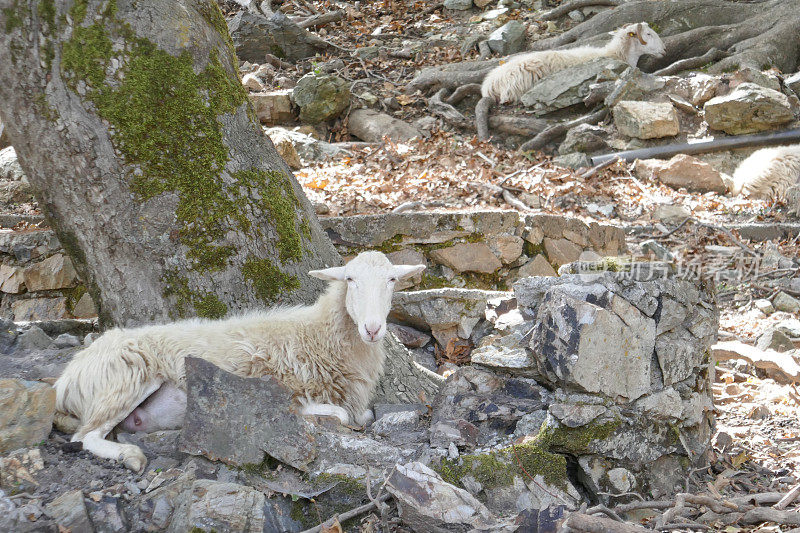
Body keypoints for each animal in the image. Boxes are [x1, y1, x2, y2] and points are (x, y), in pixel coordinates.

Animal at [54, 251, 424, 472]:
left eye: (392, 280)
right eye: (350, 279)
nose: (373, 328)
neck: (317, 331)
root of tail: (66, 378)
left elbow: (363, 414)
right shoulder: (283, 390)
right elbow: (344, 415)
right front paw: (316, 416)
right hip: (125, 379)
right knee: (84, 437)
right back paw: (130, 456)